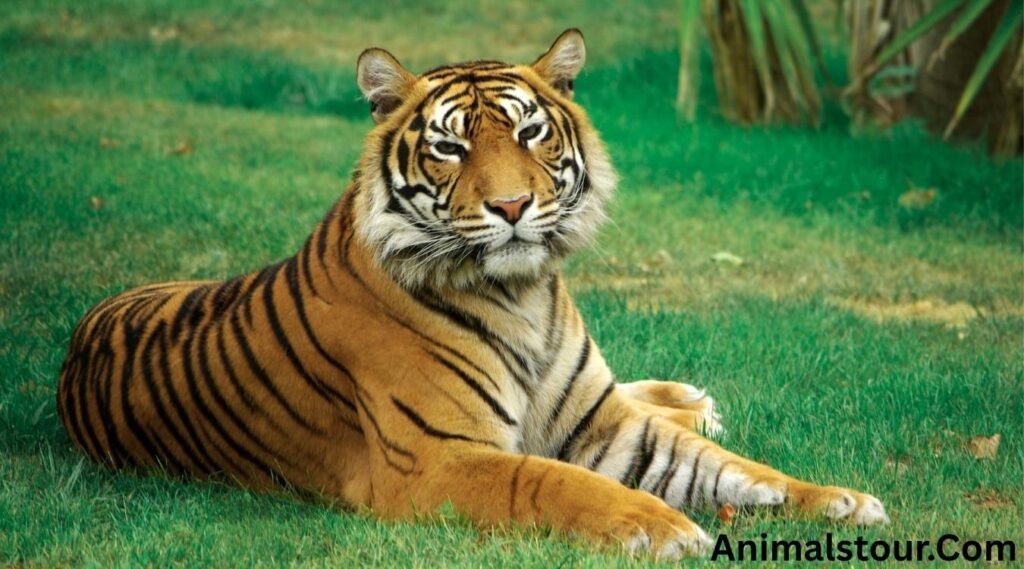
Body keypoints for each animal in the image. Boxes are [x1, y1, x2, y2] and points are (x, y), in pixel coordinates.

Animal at [57, 29, 888, 559]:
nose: (513, 206)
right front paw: (665, 527)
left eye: (528, 134)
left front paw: (839, 499)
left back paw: (692, 397)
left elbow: (735, 468)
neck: (525, 295)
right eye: (451, 146)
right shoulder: (438, 458)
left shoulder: (609, 424)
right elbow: (553, 480)